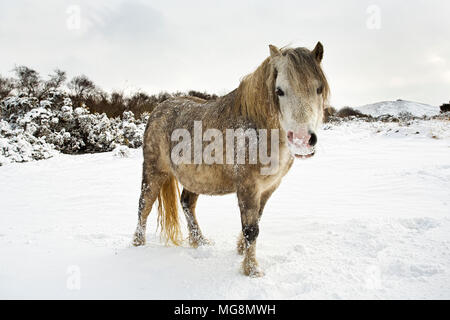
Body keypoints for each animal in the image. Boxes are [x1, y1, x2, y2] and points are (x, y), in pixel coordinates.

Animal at [132, 43, 328, 278]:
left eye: (319, 89)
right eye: (279, 91)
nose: (302, 140)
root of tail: (158, 110)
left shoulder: (268, 187)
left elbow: (256, 221)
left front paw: (241, 250)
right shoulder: (247, 186)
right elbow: (251, 229)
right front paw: (252, 269)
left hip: (195, 178)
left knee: (187, 203)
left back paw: (200, 241)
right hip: (154, 171)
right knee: (144, 205)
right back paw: (138, 244)